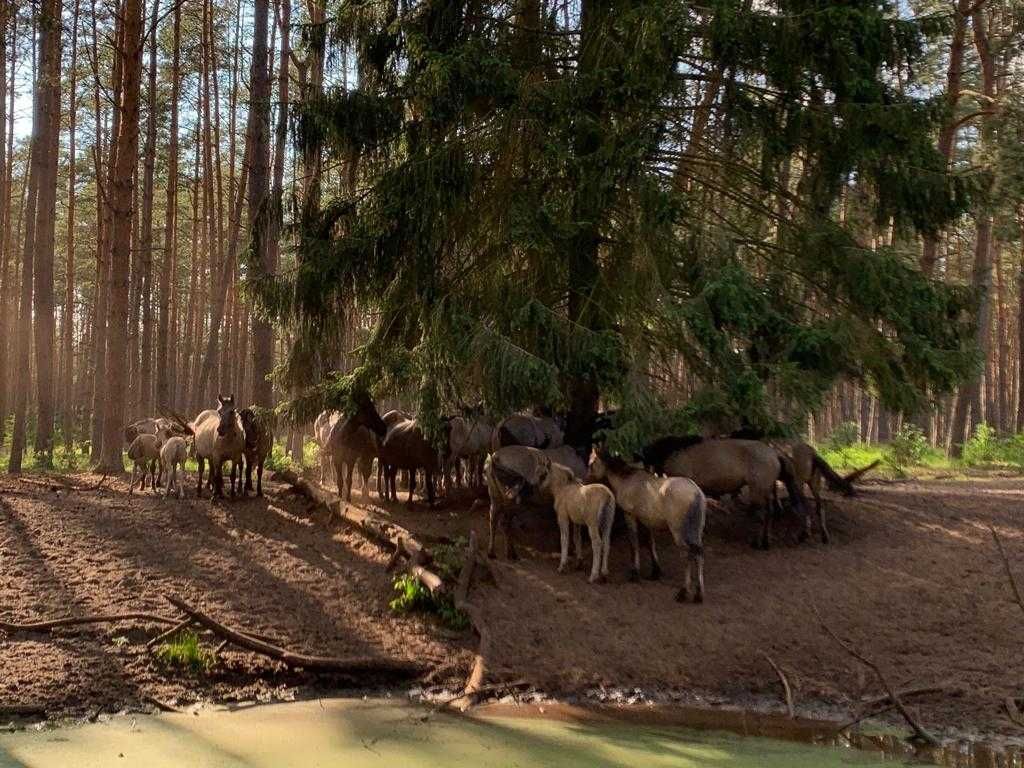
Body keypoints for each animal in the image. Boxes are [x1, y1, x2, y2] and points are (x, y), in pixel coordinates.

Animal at [589, 454, 708, 606]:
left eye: (592, 463)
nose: (587, 479)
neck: (627, 479)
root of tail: (696, 493)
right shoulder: (646, 521)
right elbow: (650, 543)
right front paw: (655, 572)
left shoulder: (630, 515)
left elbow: (634, 543)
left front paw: (635, 573)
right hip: (696, 532)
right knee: (698, 554)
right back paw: (699, 594)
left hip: (679, 532)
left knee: (687, 554)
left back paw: (683, 592)